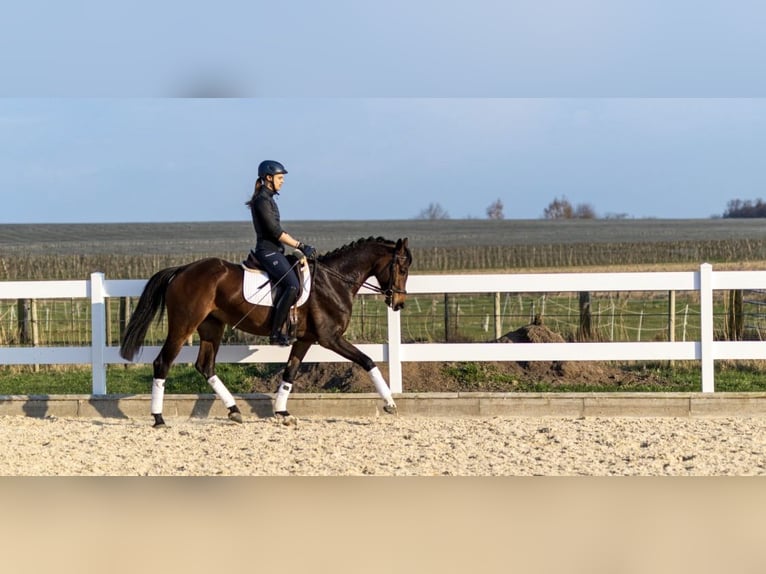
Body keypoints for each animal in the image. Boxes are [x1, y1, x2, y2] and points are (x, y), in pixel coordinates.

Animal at [119, 236, 412, 427]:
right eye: (401, 267)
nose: (399, 304)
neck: (333, 280)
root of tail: (183, 270)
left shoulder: (305, 339)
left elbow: (290, 373)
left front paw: (282, 413)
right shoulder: (330, 338)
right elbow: (368, 360)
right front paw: (390, 404)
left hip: (212, 327)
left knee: (205, 366)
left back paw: (234, 411)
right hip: (183, 325)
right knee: (163, 362)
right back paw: (158, 418)